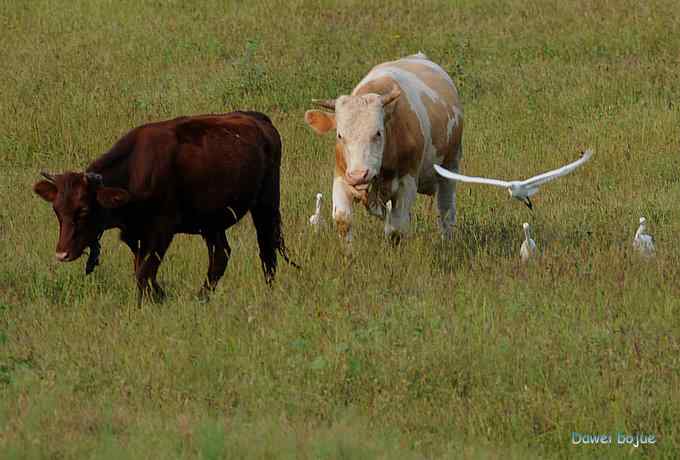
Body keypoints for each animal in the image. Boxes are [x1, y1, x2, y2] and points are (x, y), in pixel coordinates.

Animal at [33, 111, 294, 304]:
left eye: (84, 210)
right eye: (57, 211)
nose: (62, 253)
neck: (134, 171)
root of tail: (257, 119)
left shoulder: (161, 232)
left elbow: (143, 273)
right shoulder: (136, 235)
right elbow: (143, 271)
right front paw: (159, 296)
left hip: (266, 205)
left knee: (267, 251)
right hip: (211, 222)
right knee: (220, 255)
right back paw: (201, 297)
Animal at [306, 52, 462, 243]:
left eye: (378, 133)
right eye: (340, 135)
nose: (359, 175)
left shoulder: (407, 183)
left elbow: (396, 230)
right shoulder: (342, 176)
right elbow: (343, 220)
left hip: (451, 165)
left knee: (446, 211)